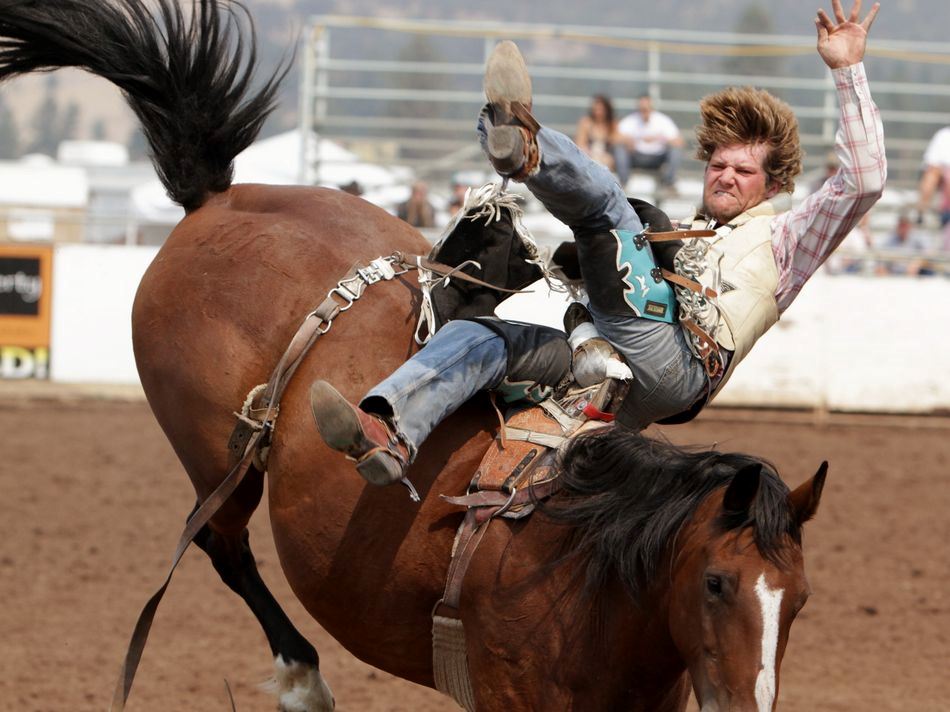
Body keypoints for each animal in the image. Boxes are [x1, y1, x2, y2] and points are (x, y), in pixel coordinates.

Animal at [0, 1, 827, 710]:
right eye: (716, 584)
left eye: (801, 599)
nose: (742, 707)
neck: (577, 558)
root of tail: (215, 200)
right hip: (213, 449)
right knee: (221, 541)